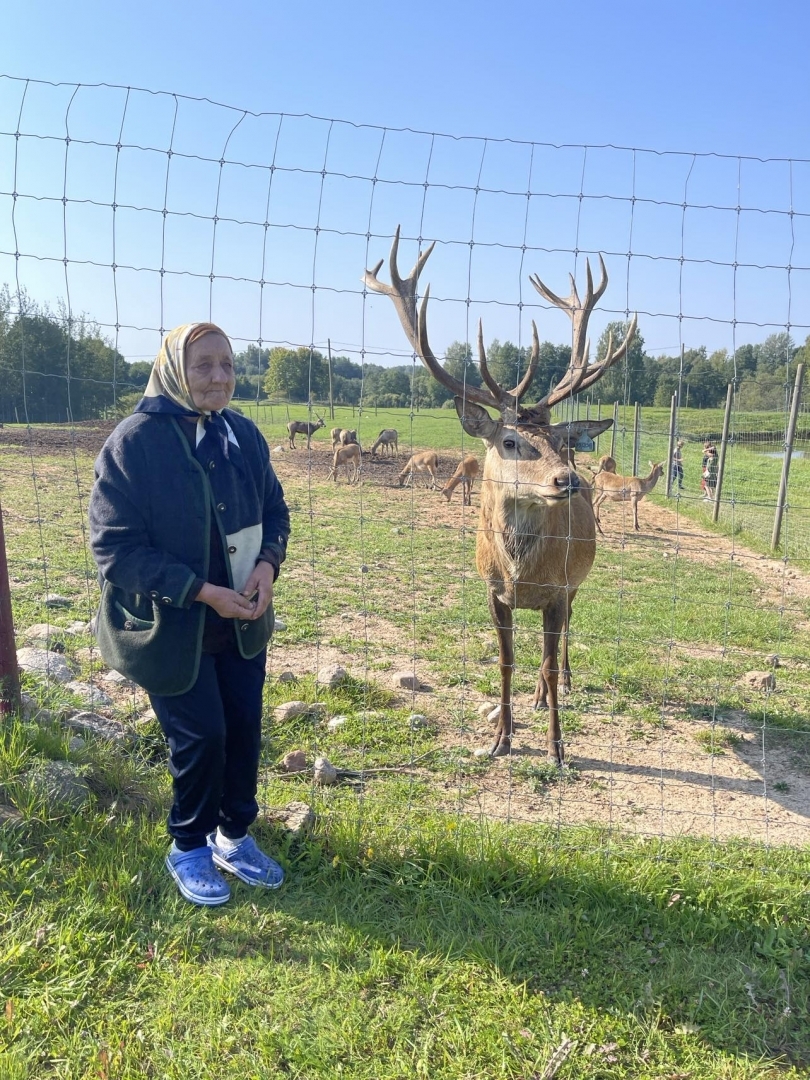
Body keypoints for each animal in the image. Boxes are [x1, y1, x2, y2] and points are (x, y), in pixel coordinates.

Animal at [365, 226, 639, 764]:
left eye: (559, 441)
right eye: (511, 441)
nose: (567, 480)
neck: (519, 571)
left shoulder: (557, 590)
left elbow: (548, 661)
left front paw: (555, 747)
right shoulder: (492, 591)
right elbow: (506, 662)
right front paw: (501, 739)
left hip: (578, 581)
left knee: (566, 638)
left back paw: (561, 685)